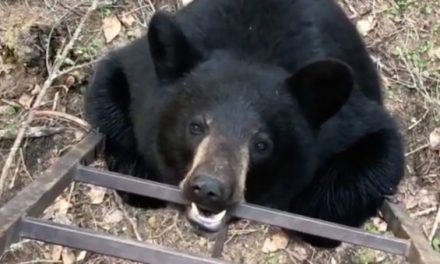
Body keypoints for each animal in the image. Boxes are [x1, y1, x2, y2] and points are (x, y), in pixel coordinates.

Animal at [83, 0, 406, 248]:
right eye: (196, 126)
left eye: (262, 144)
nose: (209, 189)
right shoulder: (142, 79)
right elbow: (109, 84)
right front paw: (138, 176)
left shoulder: (345, 125)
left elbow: (381, 147)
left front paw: (313, 221)